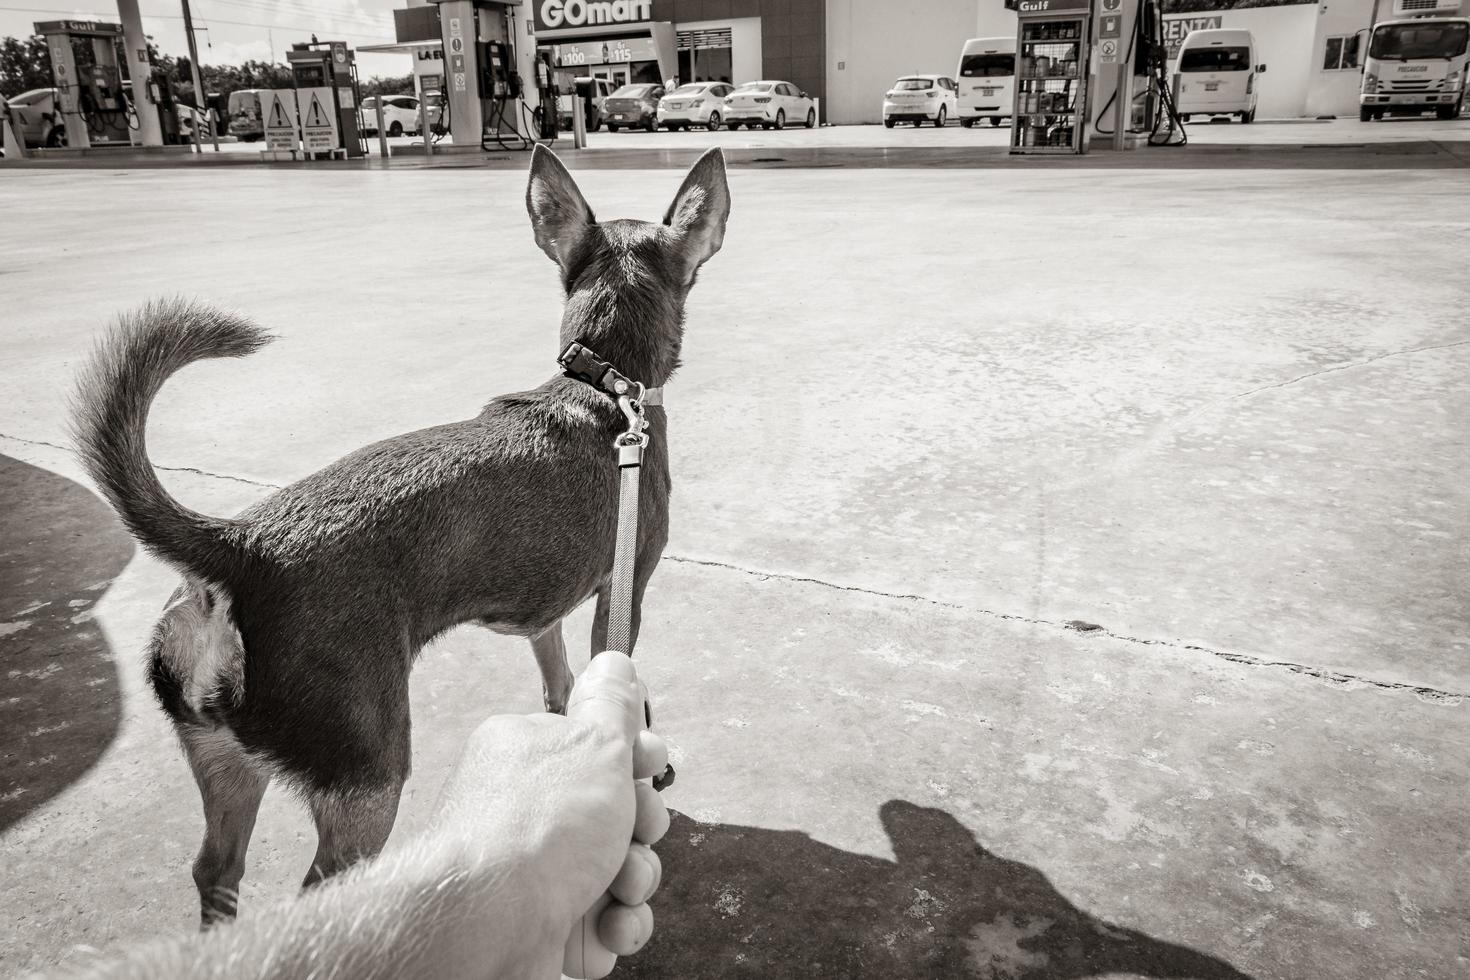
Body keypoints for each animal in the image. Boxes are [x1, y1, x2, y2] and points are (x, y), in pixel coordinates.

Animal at [70, 145, 735, 928]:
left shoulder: (543, 618)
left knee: (216, 872)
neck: (604, 384)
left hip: (225, 764)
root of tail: (241, 550)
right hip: (369, 781)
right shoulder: (622, 590)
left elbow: (560, 682)